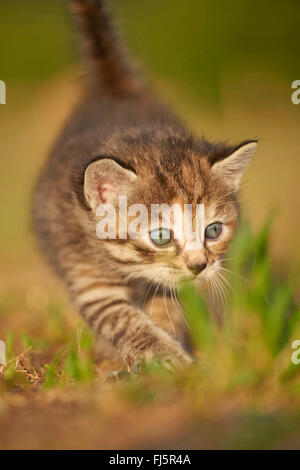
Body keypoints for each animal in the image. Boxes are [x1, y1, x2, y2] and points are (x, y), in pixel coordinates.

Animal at [33, 0, 258, 372]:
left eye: (213, 231)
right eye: (161, 237)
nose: (199, 266)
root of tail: (113, 88)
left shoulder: (169, 286)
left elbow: (167, 310)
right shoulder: (89, 278)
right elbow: (126, 321)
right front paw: (165, 357)